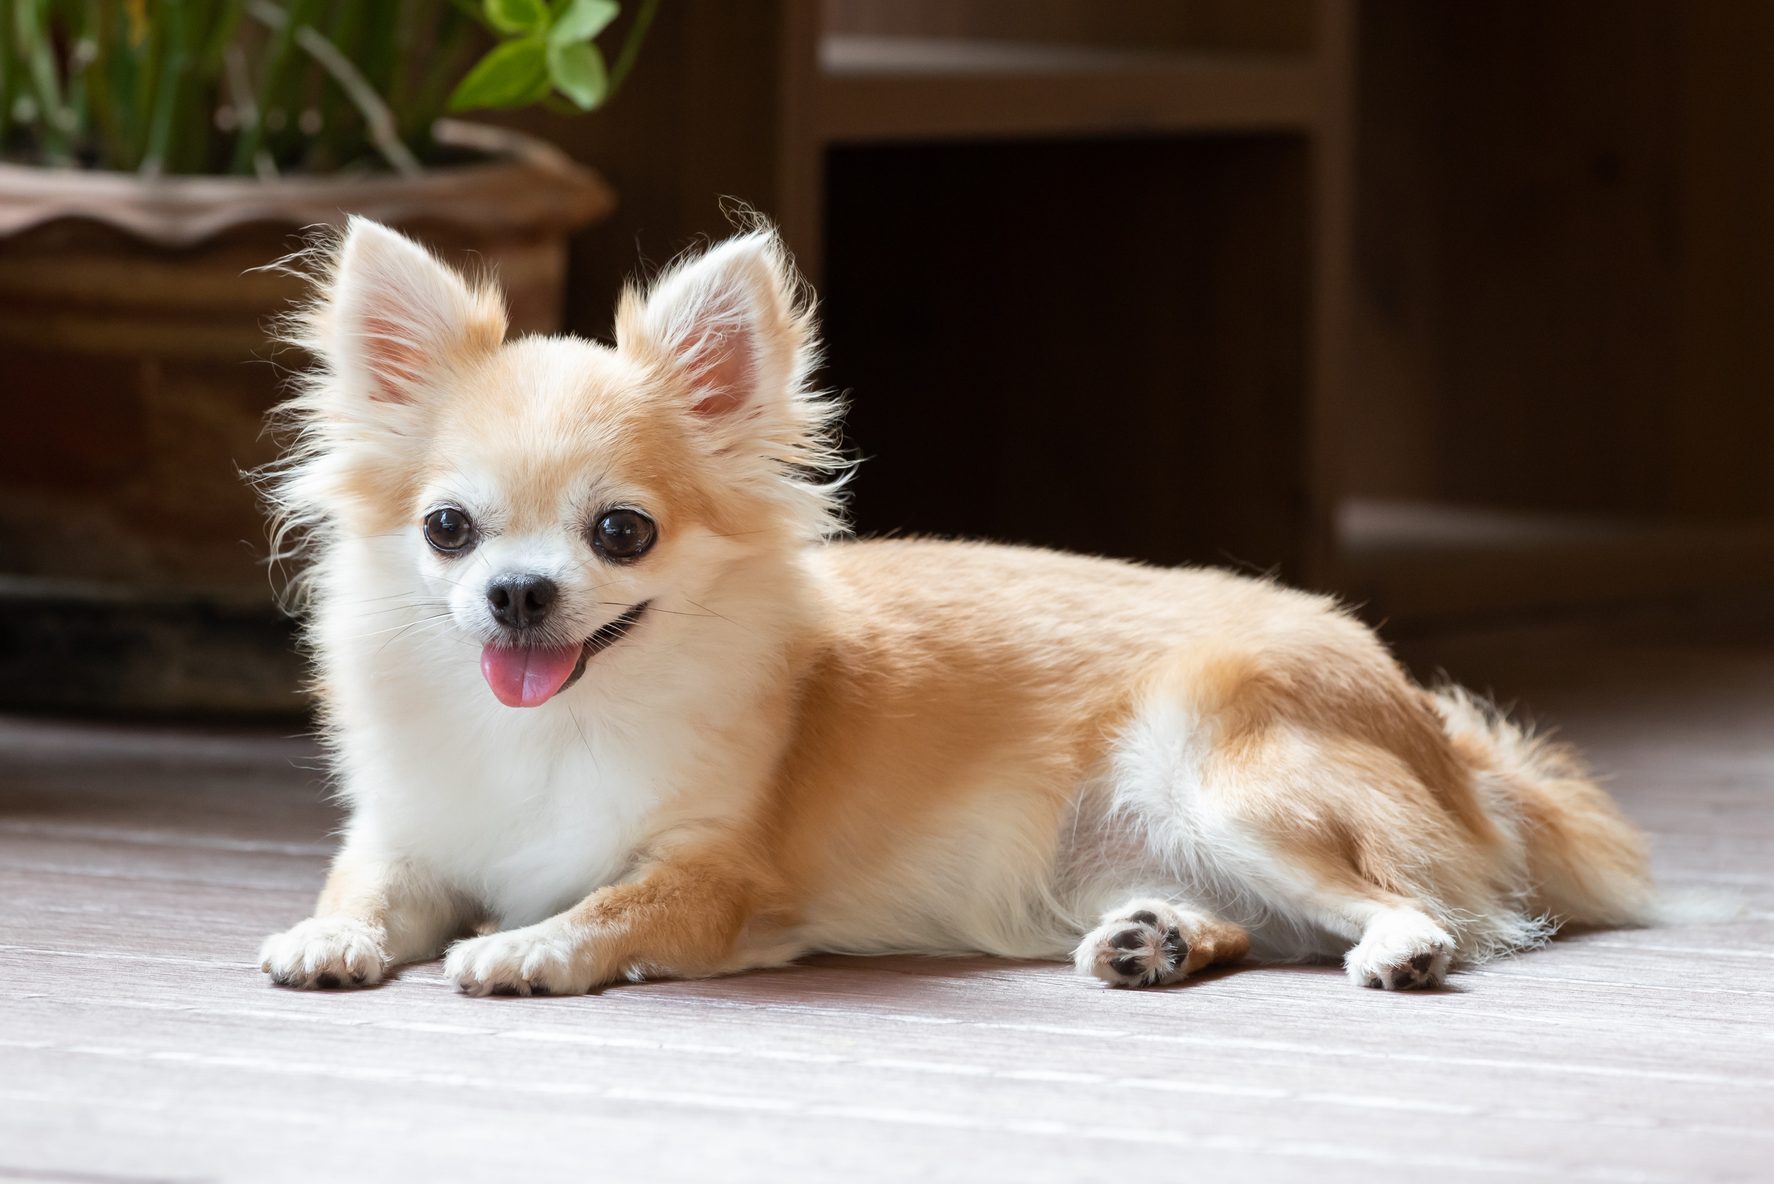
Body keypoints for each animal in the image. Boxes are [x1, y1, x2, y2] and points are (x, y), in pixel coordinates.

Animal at [257, 217, 1653, 994]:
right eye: (448, 528)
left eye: (621, 532)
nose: (517, 592)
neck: (548, 728)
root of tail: (1439, 727)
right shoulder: (412, 835)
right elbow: (365, 883)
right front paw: (327, 934)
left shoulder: (714, 873)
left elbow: (607, 905)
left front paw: (522, 947)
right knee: (1252, 922)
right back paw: (1158, 938)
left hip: (1225, 771)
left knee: (1440, 907)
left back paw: (1399, 946)